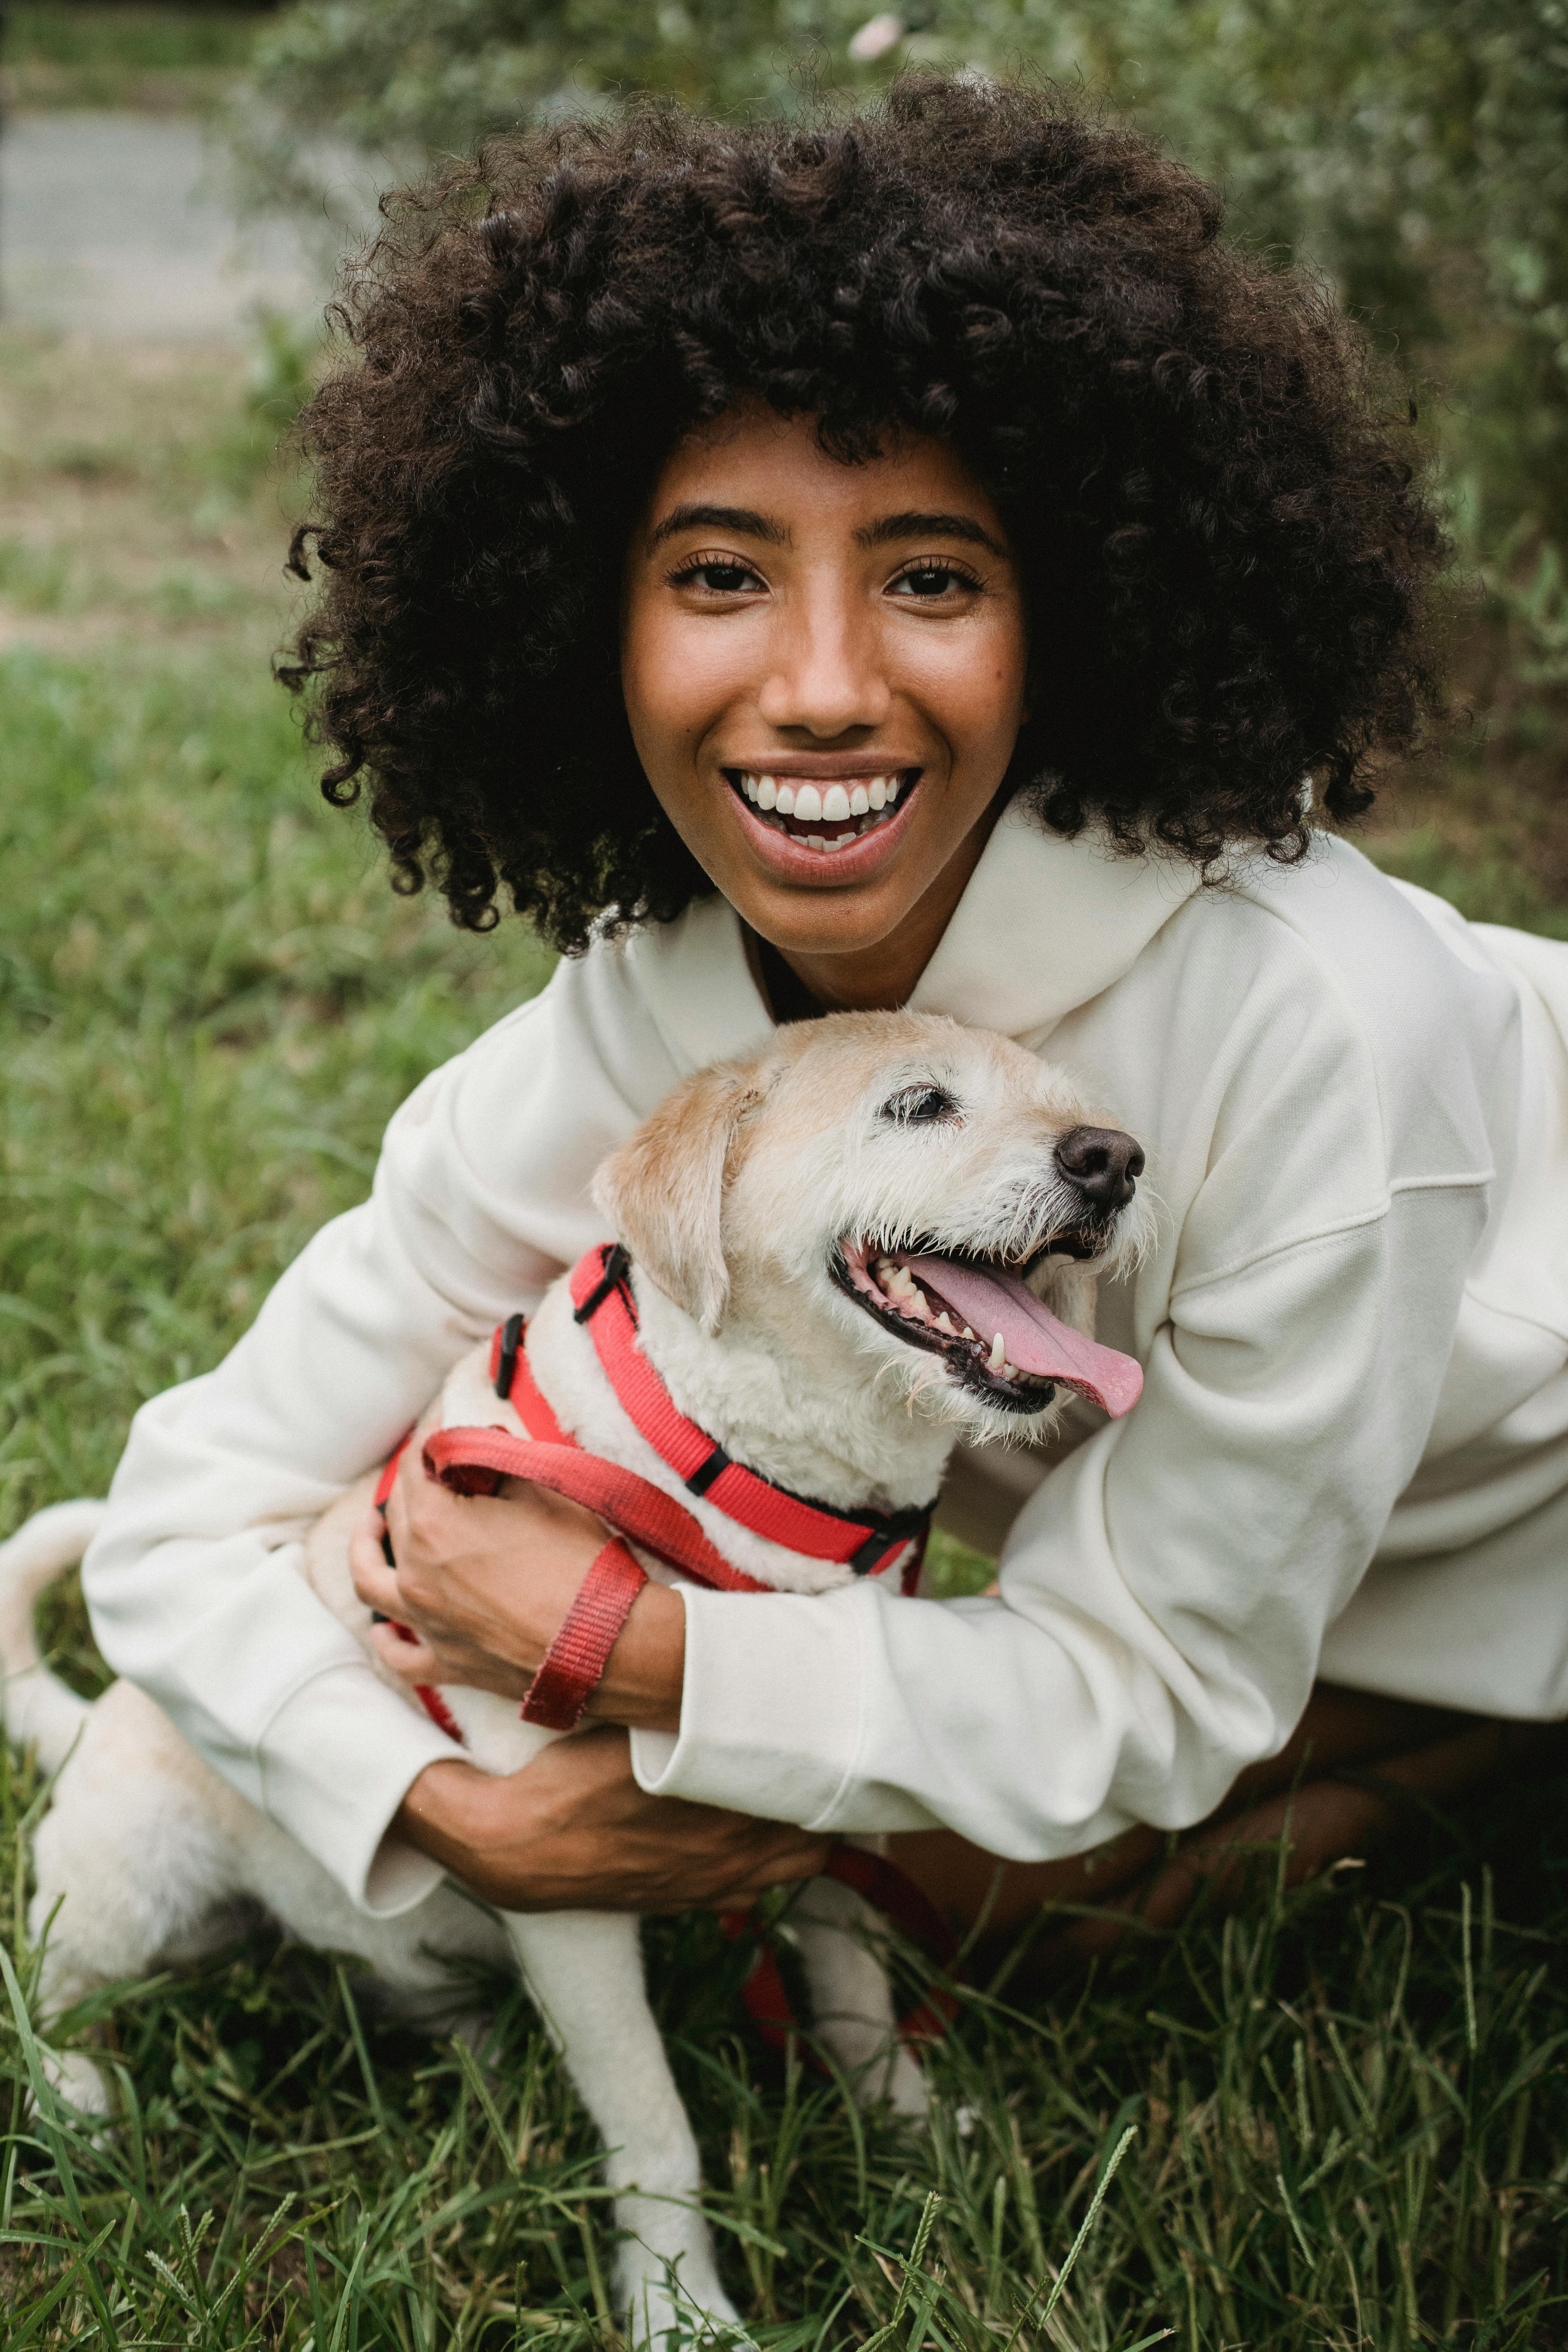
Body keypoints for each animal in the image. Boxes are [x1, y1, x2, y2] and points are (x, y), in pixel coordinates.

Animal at [3, 1007, 1152, 2333]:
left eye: (1075, 1095)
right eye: (917, 1105)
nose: (1115, 1160)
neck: (737, 1474)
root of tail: (85, 1728)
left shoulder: (834, 1836)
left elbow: (858, 2005)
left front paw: (910, 2137)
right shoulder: (572, 1898)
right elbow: (655, 2129)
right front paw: (682, 2310)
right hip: (132, 1876)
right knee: (47, 1982)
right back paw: (76, 2088)